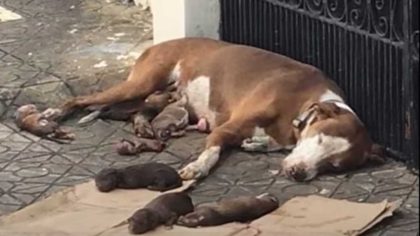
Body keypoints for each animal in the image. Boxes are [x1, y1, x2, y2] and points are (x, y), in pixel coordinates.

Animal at [44, 37, 386, 181]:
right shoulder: (226, 128)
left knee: (133, 111)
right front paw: (197, 168)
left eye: (335, 166)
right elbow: (212, 151)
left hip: (150, 96)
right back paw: (53, 116)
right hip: (140, 83)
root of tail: (158, 43)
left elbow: (264, 143)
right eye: (319, 139)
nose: (298, 174)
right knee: (83, 100)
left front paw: (257, 144)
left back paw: (142, 127)